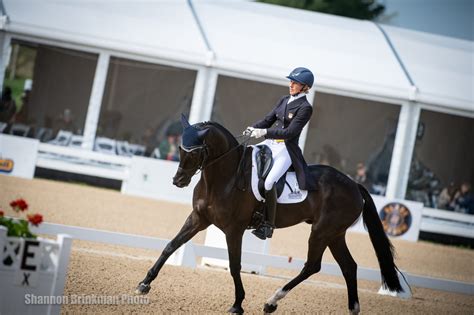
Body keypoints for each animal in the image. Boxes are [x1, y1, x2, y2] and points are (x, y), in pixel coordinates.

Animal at [136, 119, 404, 314]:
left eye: (194, 152)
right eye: (180, 149)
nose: (178, 181)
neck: (224, 178)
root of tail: (354, 184)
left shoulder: (233, 229)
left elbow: (235, 265)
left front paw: (237, 305)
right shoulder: (198, 219)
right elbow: (170, 246)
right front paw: (144, 284)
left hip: (322, 231)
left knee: (312, 266)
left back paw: (272, 301)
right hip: (335, 234)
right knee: (348, 267)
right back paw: (351, 308)